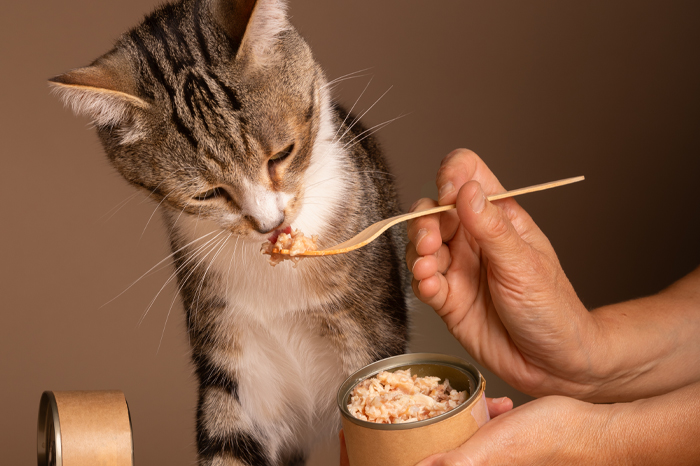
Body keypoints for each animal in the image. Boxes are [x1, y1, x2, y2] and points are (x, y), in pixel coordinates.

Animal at [49, 0, 408, 466]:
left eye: (283, 154)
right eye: (207, 193)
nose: (269, 225)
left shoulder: (368, 338)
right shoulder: (234, 358)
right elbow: (230, 438)